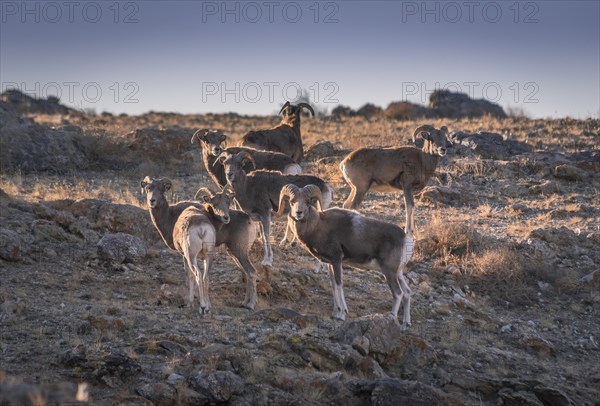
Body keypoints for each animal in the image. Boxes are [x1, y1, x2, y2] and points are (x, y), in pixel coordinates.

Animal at [143, 175, 262, 310]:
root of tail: (250, 220)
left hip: (239, 252)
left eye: (161, 190)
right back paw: (245, 303)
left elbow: (190, 276)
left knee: (251, 272)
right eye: (148, 188)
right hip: (233, 253)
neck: (169, 215)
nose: (152, 201)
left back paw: (250, 305)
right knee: (246, 274)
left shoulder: (186, 254)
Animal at [276, 184, 412, 326]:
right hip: (398, 273)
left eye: (308, 202)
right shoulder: (330, 263)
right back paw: (406, 324)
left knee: (398, 293)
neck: (318, 226)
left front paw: (341, 314)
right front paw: (335, 313)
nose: (299, 213)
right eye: (292, 202)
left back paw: (392, 317)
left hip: (389, 272)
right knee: (407, 292)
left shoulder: (337, 260)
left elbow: (339, 284)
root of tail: (405, 239)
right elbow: (333, 285)